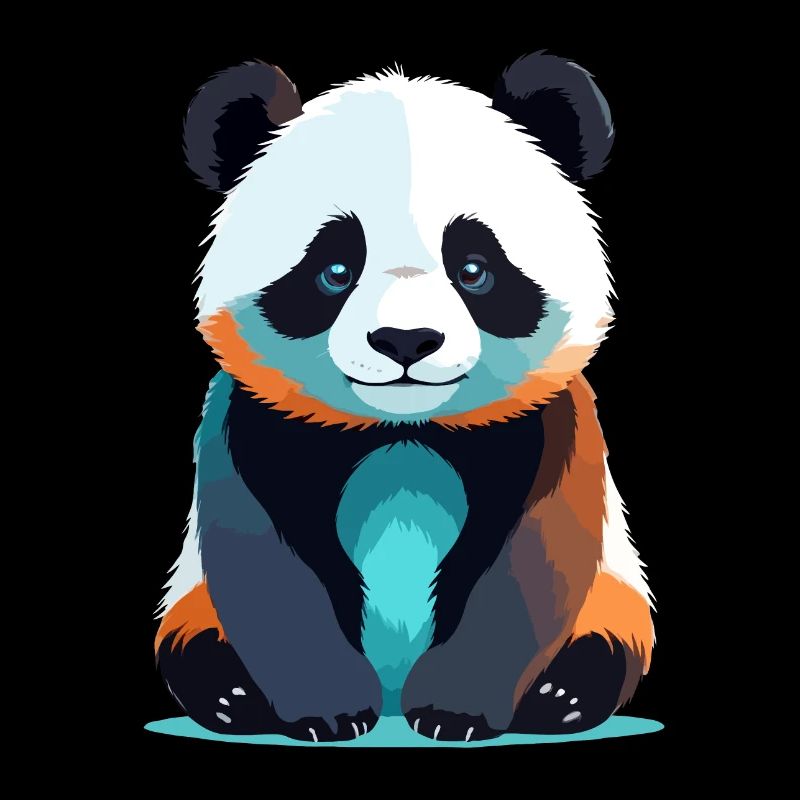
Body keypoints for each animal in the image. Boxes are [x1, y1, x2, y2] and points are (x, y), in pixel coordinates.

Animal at [155, 53, 654, 743]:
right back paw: (232, 694)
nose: (406, 341)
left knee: (606, 641)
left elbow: (526, 558)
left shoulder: (551, 422)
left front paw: (454, 711)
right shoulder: (249, 420)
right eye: (334, 270)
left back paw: (563, 694)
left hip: (613, 595)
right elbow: (268, 564)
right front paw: (329, 712)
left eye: (474, 268)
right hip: (191, 601)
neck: (404, 430)